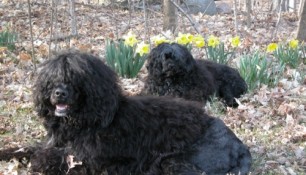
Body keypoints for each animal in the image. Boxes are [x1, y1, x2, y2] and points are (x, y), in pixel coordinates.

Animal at [1, 50, 252, 174]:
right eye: (52, 78)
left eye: (76, 77)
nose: (59, 93)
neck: (85, 120)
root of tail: (238, 144)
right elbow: (27, 148)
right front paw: (8, 152)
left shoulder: (90, 160)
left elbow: (49, 157)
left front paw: (39, 161)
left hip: (174, 163)